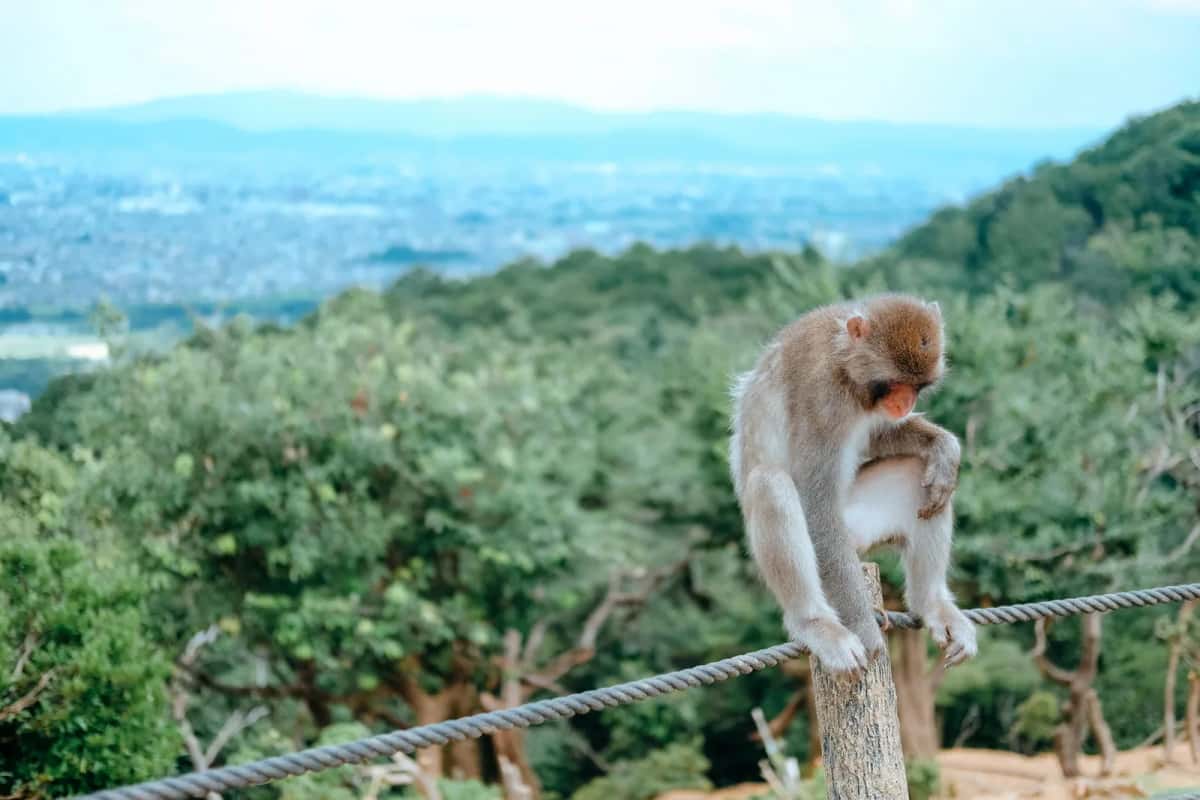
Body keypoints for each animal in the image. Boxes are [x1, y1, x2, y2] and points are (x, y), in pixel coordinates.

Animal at [729, 294, 976, 674]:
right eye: (893, 384)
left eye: (917, 387)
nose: (906, 403)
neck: (844, 363)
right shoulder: (820, 399)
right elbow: (817, 506)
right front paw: (865, 630)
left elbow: (879, 435)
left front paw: (944, 448)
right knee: (770, 484)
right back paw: (815, 623)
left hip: (862, 527)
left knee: (917, 473)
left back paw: (932, 604)